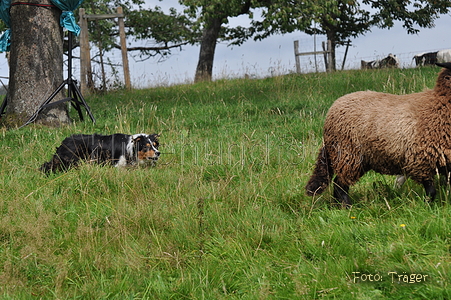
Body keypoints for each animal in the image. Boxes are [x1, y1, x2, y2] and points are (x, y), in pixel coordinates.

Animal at [306, 61, 451, 206]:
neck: (439, 104)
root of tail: (333, 108)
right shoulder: (421, 162)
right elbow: (431, 191)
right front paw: (428, 206)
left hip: (357, 159)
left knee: (339, 184)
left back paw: (337, 206)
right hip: (348, 155)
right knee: (340, 184)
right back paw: (347, 207)